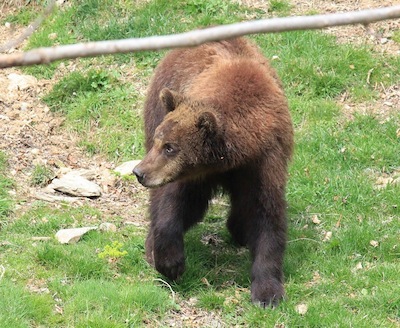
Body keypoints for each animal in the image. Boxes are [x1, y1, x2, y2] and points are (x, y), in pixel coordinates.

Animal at [134, 37, 294, 308]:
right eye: (160, 140)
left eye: (170, 147)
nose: (139, 172)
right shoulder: (193, 174)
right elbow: (176, 203)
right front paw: (170, 262)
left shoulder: (263, 163)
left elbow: (265, 214)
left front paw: (267, 292)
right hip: (159, 103)